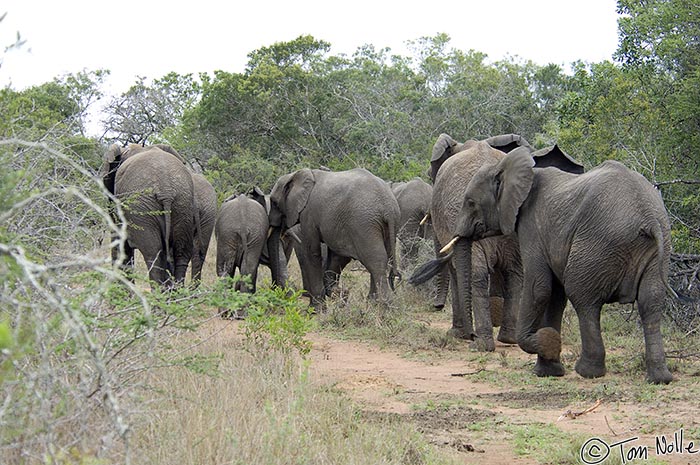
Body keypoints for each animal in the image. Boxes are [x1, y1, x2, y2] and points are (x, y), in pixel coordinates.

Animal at [266, 168, 400, 308]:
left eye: (274, 202)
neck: (295, 175)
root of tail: (388, 209)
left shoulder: (308, 215)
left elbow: (312, 253)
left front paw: (316, 309)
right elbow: (336, 257)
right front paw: (338, 293)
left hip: (364, 224)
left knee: (375, 261)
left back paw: (383, 305)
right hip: (386, 225)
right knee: (382, 258)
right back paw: (373, 303)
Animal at [442, 147, 680, 382]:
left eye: (470, 202)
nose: (471, 338)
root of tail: (648, 218)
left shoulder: (532, 227)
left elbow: (539, 289)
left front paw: (547, 343)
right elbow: (555, 296)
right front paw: (547, 370)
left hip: (597, 245)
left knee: (583, 298)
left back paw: (587, 371)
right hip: (658, 249)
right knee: (651, 303)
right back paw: (659, 378)